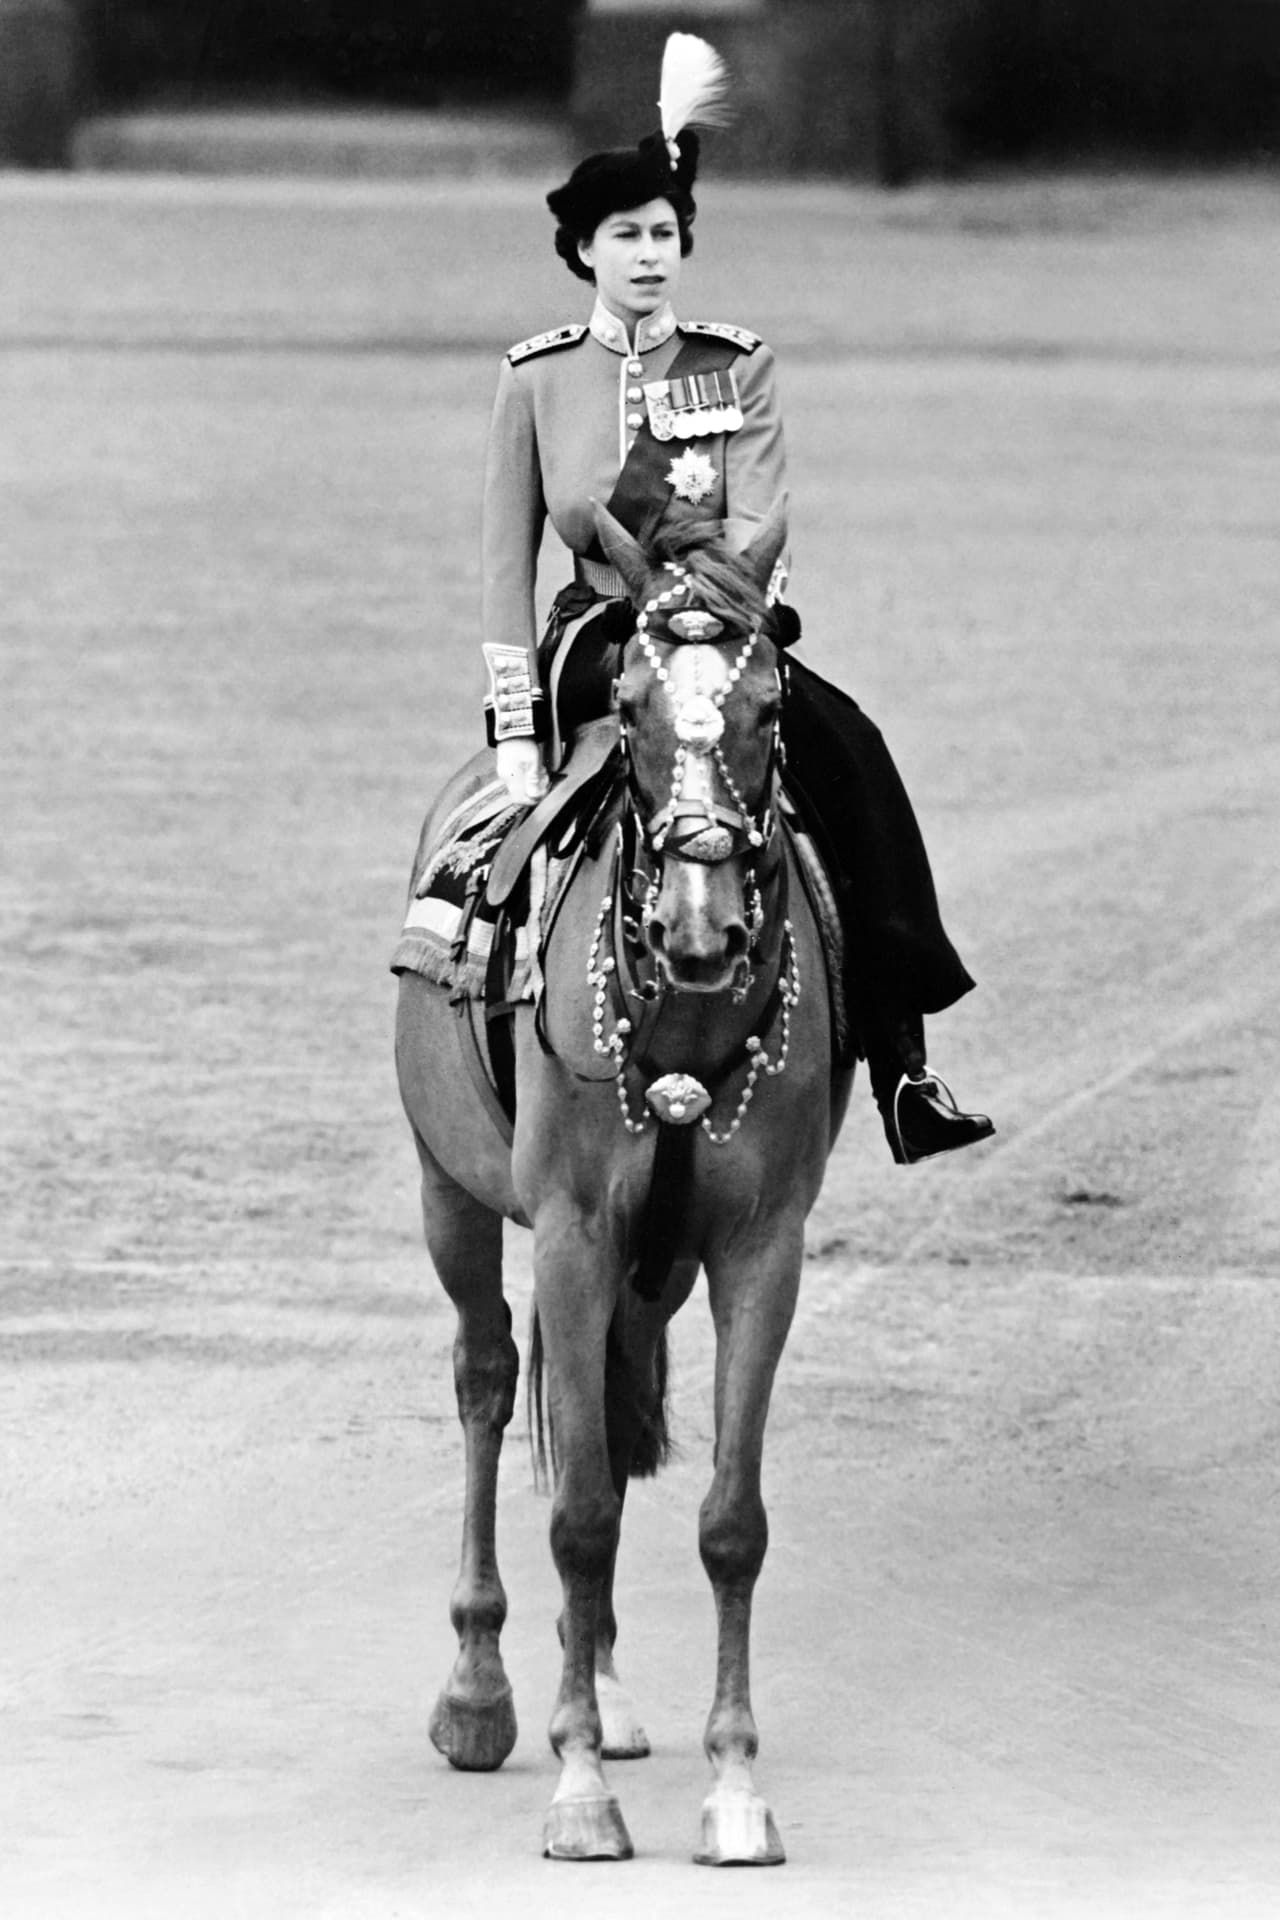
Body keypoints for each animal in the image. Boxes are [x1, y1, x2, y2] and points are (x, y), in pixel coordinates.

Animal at [394, 495, 854, 1865]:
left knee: (601, 1385)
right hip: (451, 1196)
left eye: (764, 706)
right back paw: (481, 1692)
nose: (700, 928)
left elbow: (727, 1520)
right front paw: (578, 1788)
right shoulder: (568, 1235)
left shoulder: (759, 1249)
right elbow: (582, 1512)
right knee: (489, 1382)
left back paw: (593, 1680)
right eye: (636, 708)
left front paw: (733, 1786)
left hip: (651, 1271)